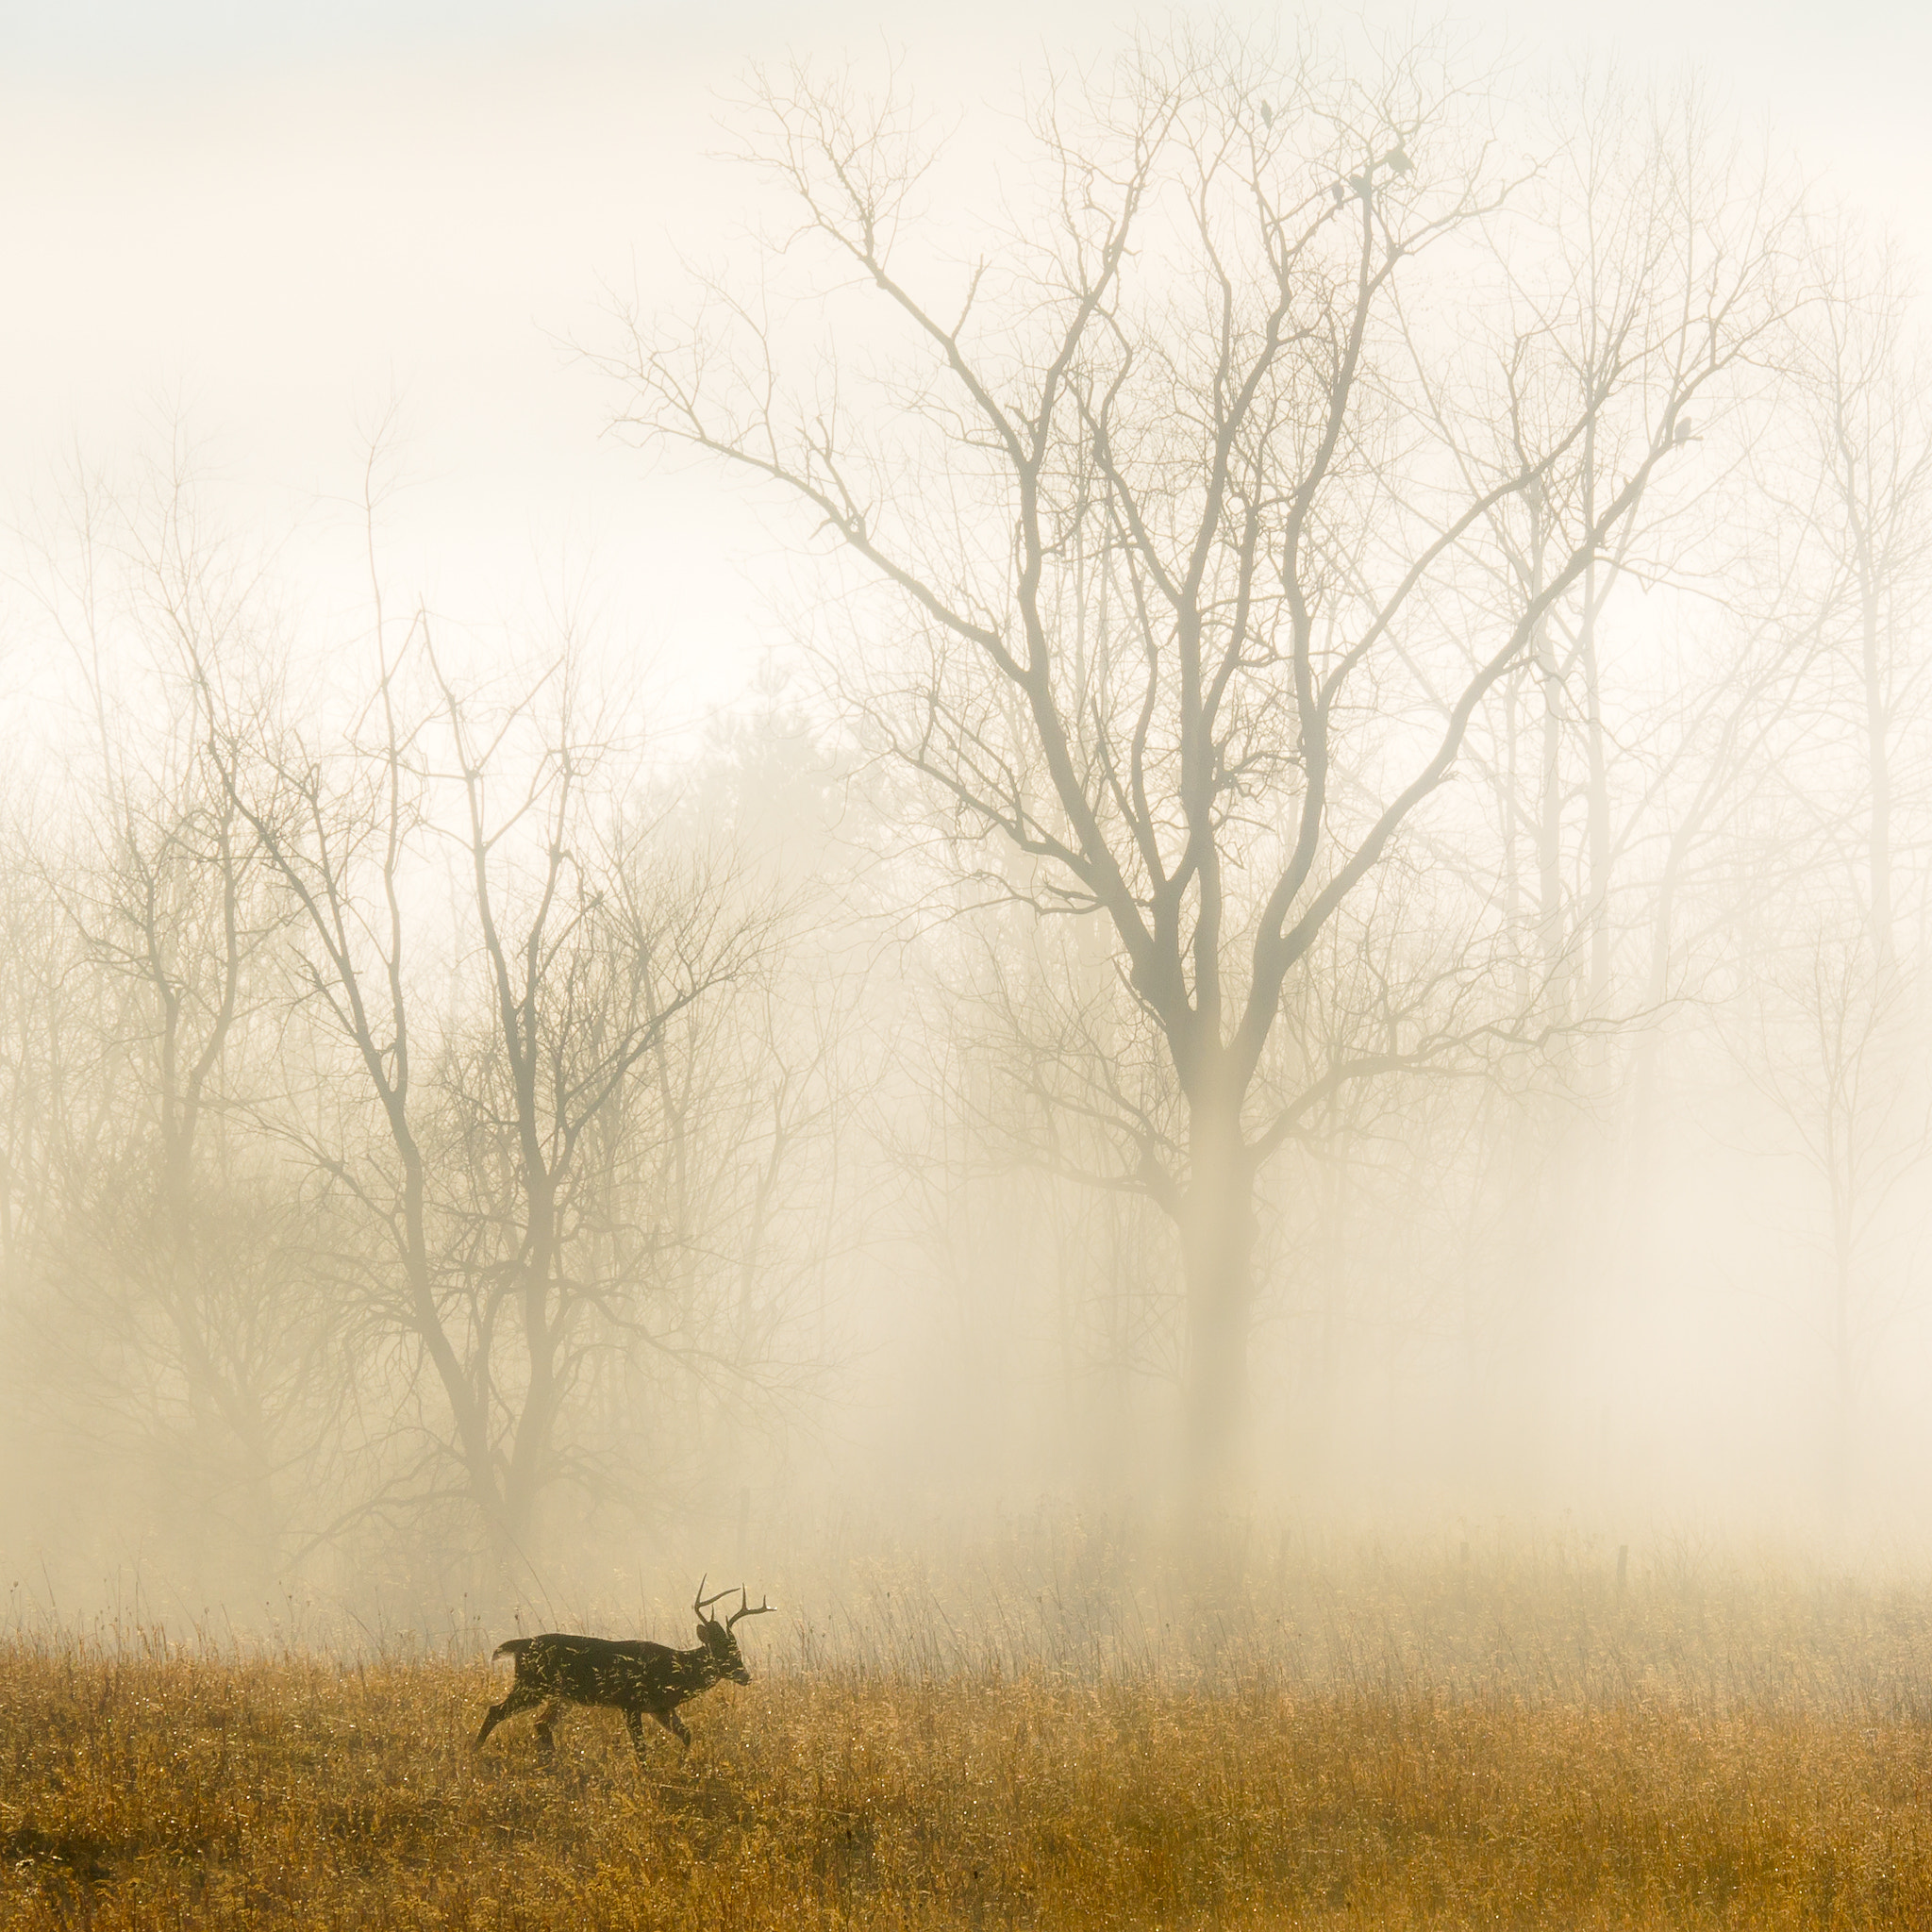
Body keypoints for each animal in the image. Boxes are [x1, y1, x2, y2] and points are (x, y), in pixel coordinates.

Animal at [476, 1584, 776, 1769]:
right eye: (720, 1651)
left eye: (737, 1650)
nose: (745, 1675)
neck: (674, 1673)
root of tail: (520, 1645)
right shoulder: (631, 1702)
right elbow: (641, 1749)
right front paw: (647, 1775)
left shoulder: (661, 1709)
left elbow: (687, 1735)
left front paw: (683, 1765)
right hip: (532, 1685)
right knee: (495, 1711)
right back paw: (474, 1752)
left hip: (560, 1696)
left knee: (540, 1725)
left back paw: (550, 1763)